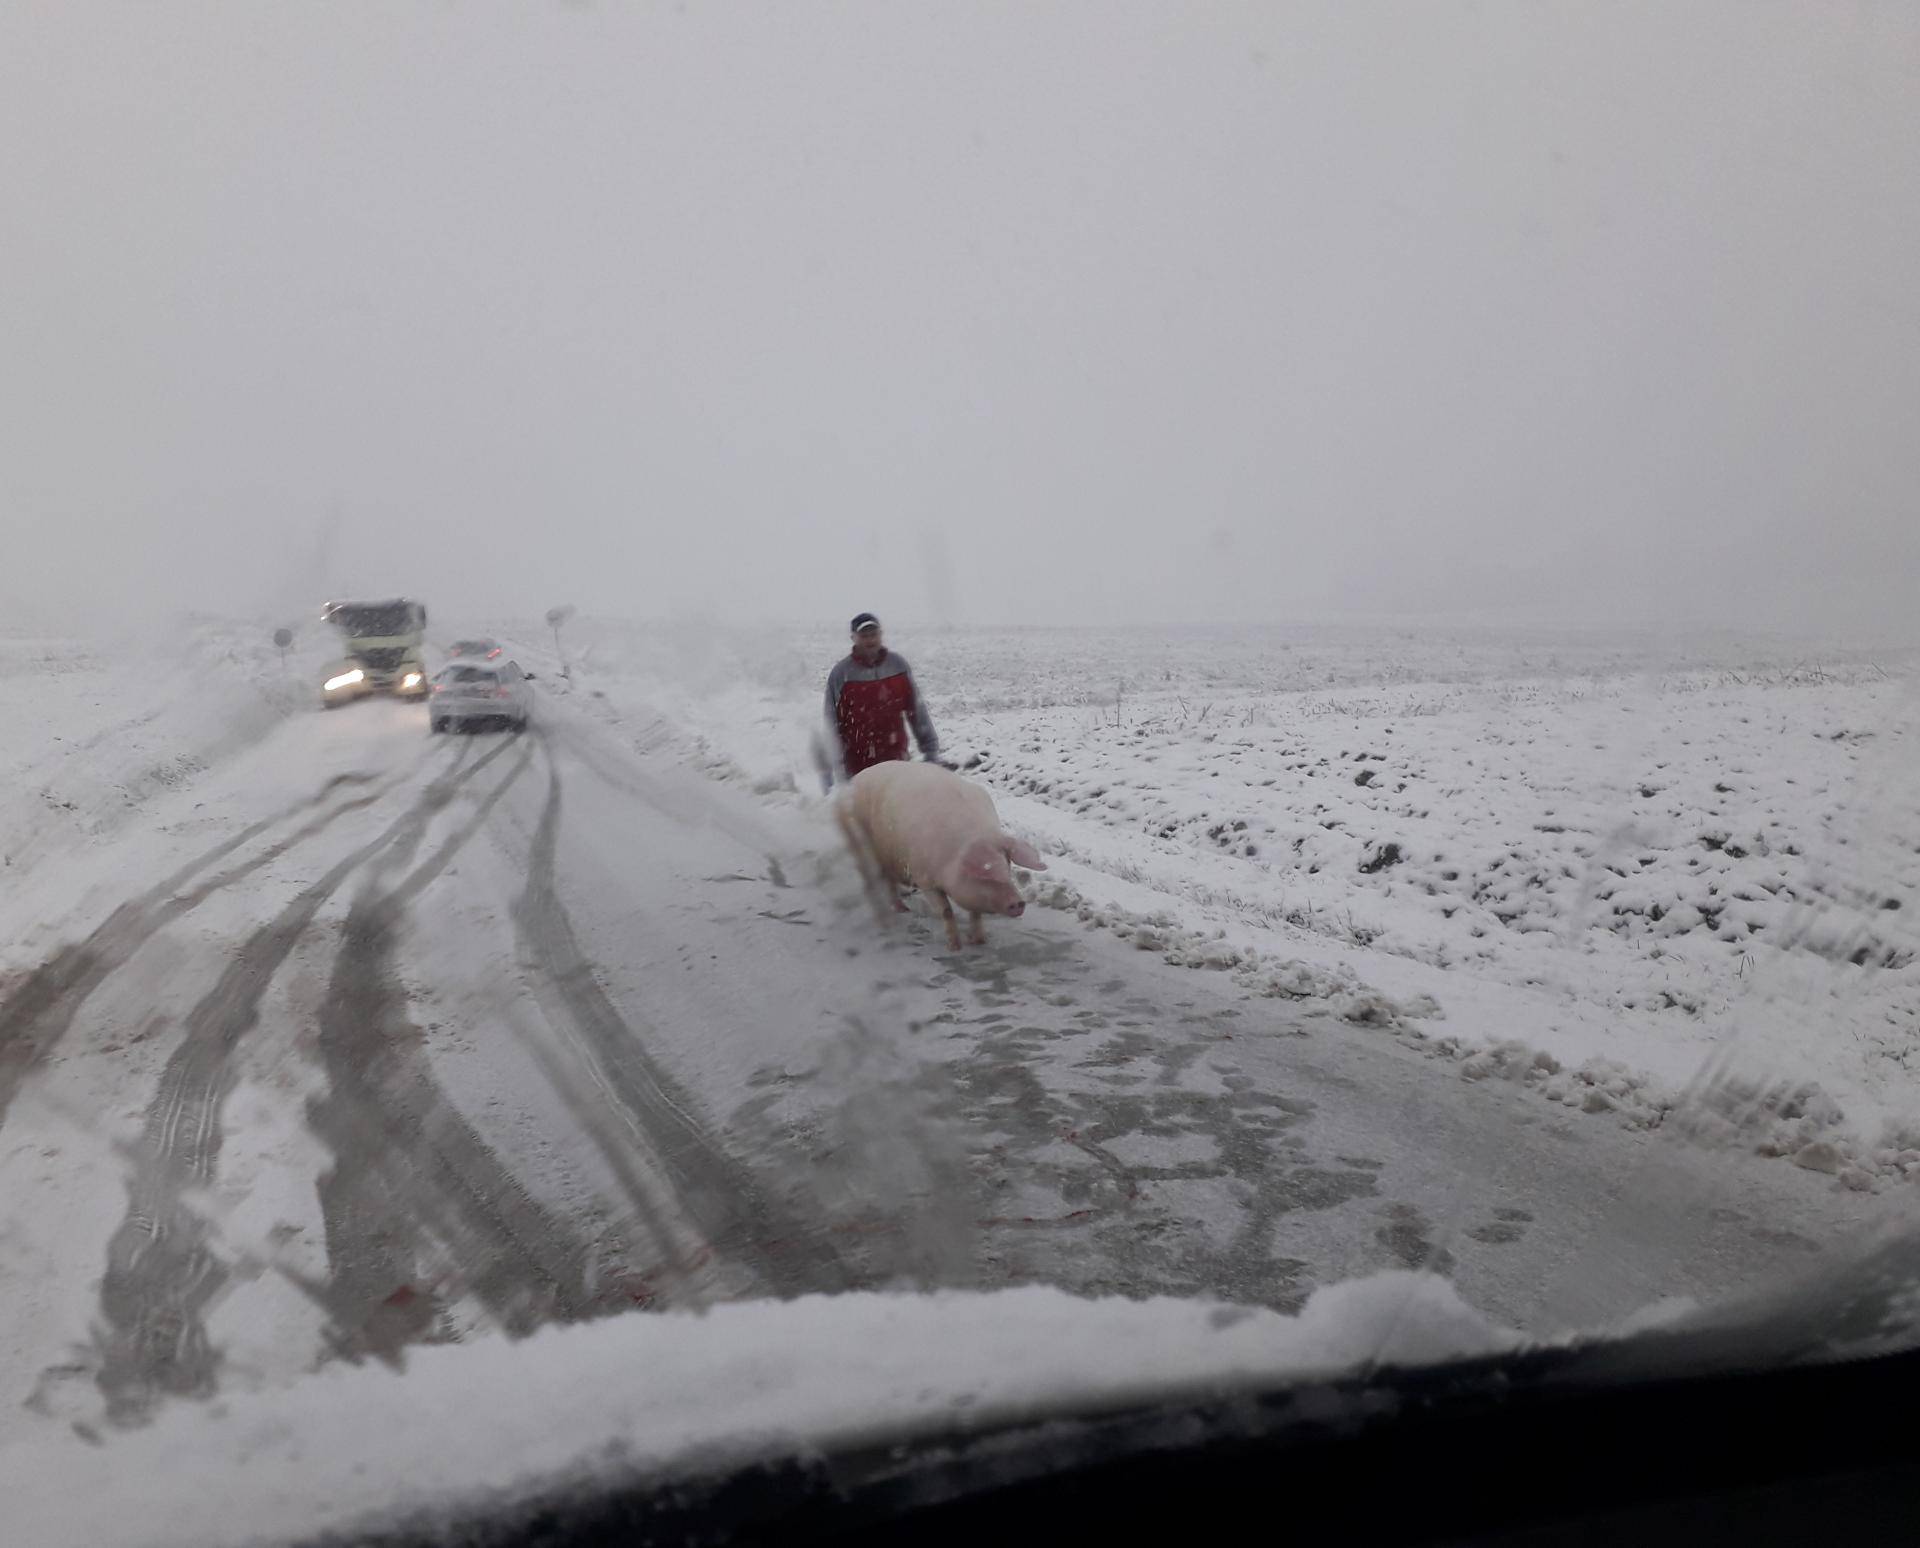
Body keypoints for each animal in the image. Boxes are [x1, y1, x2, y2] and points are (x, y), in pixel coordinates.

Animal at [837, 760, 1052, 952]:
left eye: (1008, 867)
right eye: (986, 874)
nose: (1018, 902)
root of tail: (856, 778)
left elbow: (976, 913)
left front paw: (979, 941)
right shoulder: (925, 879)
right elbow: (946, 911)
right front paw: (955, 948)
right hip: (861, 844)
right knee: (879, 880)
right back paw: (898, 910)